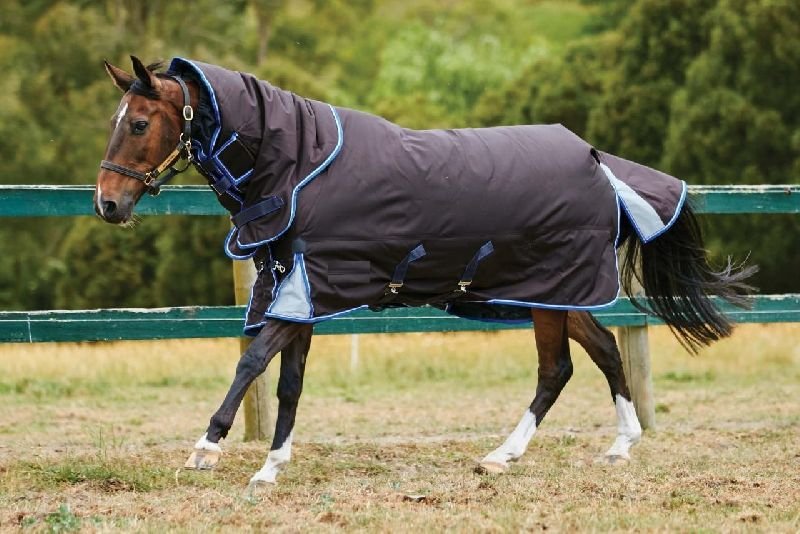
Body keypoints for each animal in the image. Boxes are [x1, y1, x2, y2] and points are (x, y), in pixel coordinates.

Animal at [95, 56, 755, 488]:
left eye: (138, 123)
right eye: (115, 120)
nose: (107, 204)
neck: (302, 165)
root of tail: (599, 163)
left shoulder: (309, 289)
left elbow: (252, 361)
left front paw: (206, 449)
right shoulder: (297, 291)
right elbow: (288, 382)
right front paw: (272, 466)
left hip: (554, 290)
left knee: (562, 367)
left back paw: (520, 453)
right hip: (552, 294)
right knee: (596, 355)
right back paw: (590, 449)